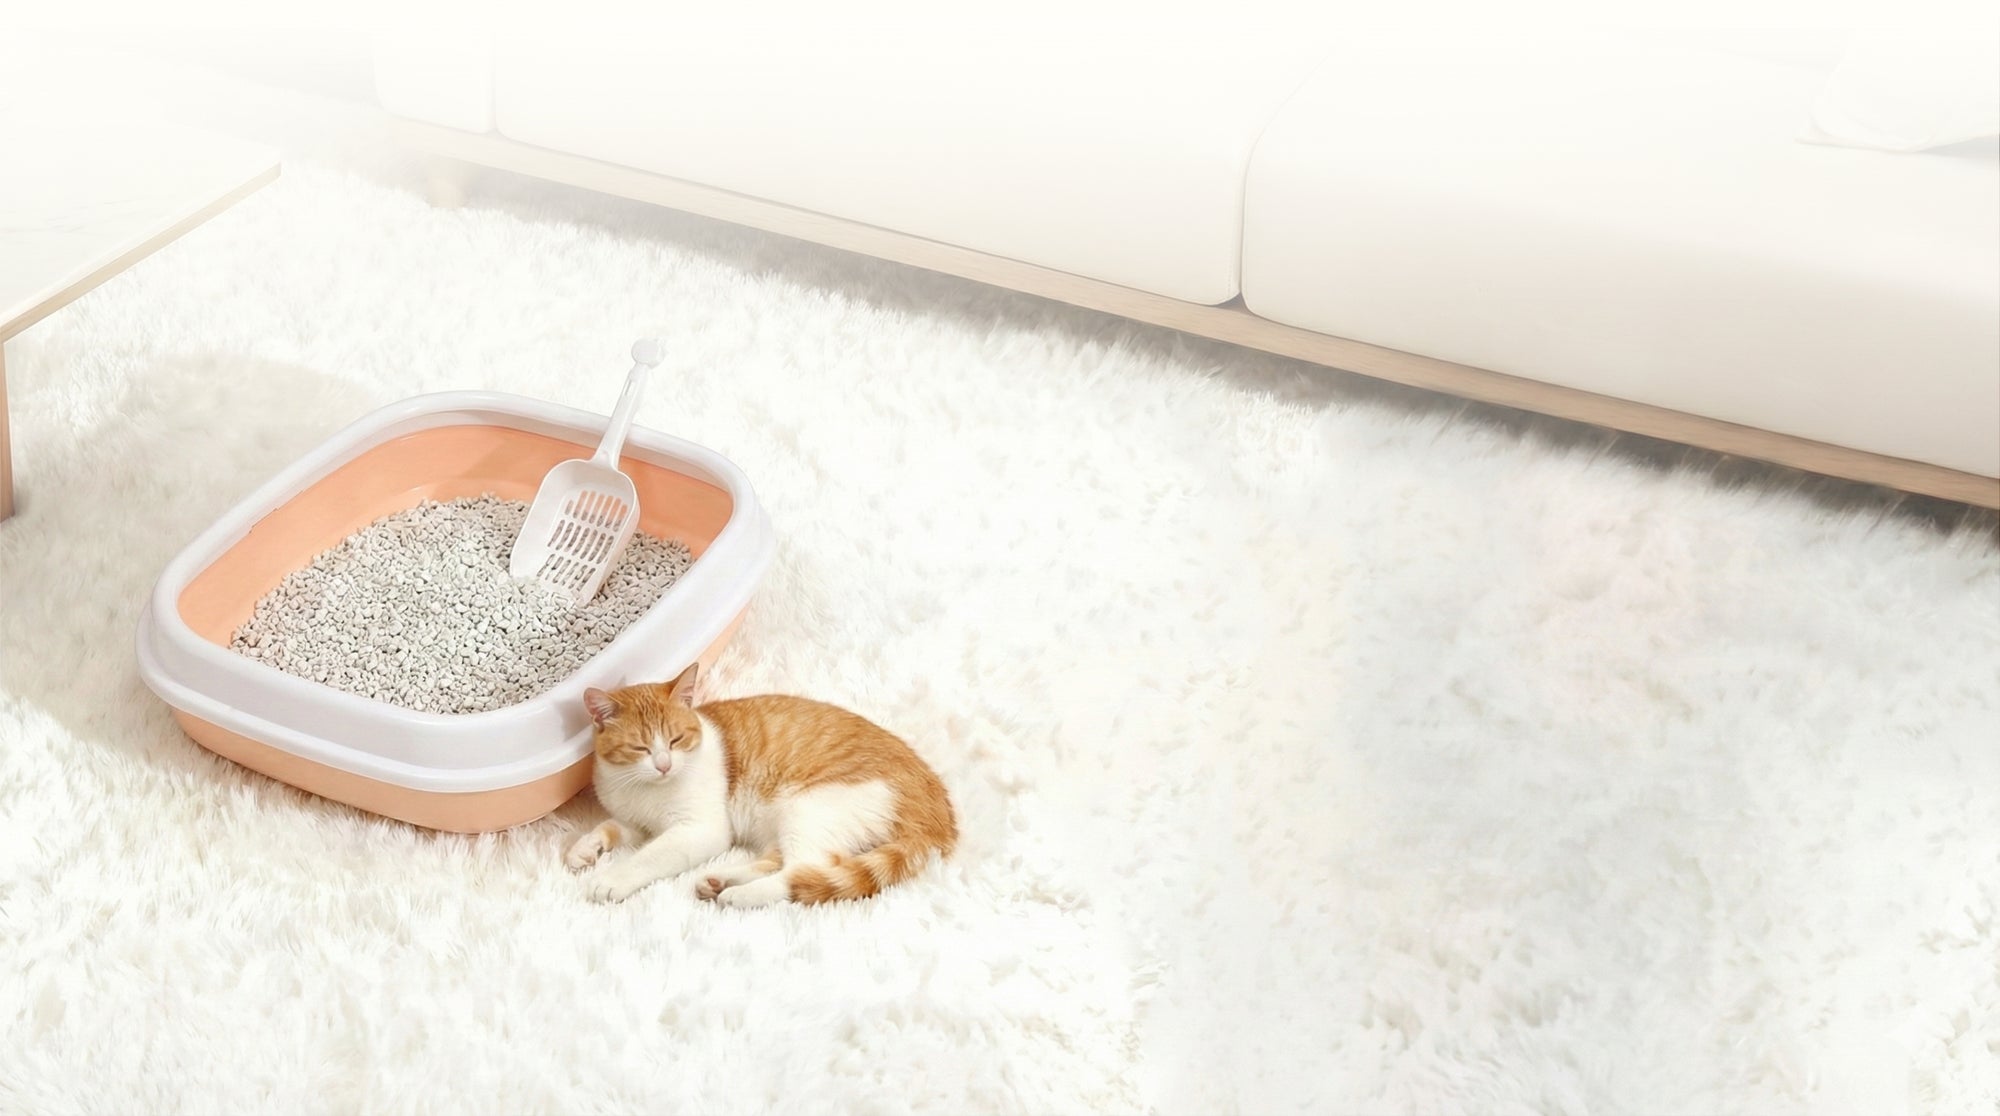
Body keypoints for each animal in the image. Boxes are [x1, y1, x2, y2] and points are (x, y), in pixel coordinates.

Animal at [563, 663, 957, 906]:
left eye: (676, 740)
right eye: (640, 748)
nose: (663, 765)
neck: (642, 787)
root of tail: (936, 802)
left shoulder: (698, 830)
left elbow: (649, 856)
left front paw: (613, 878)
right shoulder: (637, 822)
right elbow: (610, 826)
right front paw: (585, 848)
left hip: (809, 808)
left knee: (803, 871)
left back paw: (741, 896)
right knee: (781, 862)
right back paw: (721, 881)